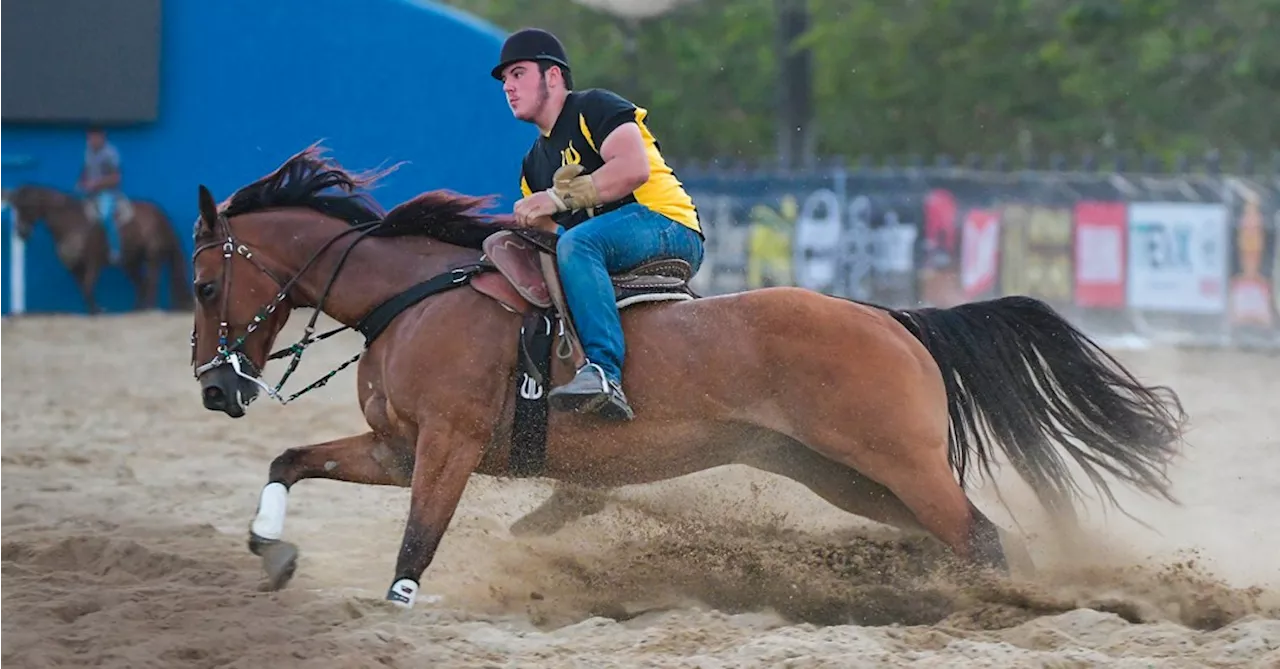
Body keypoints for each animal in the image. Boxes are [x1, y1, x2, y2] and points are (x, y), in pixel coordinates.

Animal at [1, 182, 192, 314]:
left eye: (27, 206)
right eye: (15, 207)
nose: (21, 233)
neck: (71, 222)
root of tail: (161, 216)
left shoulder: (94, 261)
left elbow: (87, 285)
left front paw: (98, 310)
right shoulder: (73, 267)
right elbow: (84, 289)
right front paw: (95, 310)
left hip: (153, 257)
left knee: (152, 280)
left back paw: (149, 308)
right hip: (131, 262)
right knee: (142, 282)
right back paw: (137, 309)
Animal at [189, 147, 1187, 611]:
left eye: (201, 282)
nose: (213, 387)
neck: (415, 297)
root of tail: (893, 319)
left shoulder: (447, 447)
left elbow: (417, 541)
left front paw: (395, 604)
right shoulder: (397, 447)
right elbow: (288, 459)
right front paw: (272, 549)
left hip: (901, 466)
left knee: (981, 537)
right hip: (849, 476)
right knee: (973, 538)